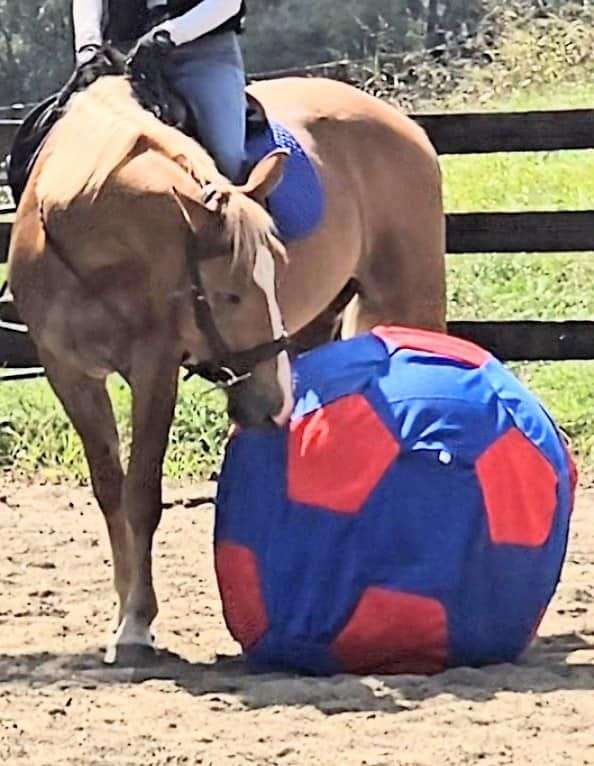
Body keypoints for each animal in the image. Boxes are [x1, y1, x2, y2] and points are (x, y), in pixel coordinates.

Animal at [8, 76, 444, 664]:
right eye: (230, 295)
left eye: (272, 275)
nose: (273, 402)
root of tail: (402, 124)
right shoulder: (68, 373)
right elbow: (110, 492)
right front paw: (124, 616)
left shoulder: (154, 367)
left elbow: (141, 495)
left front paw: (138, 624)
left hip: (411, 298)